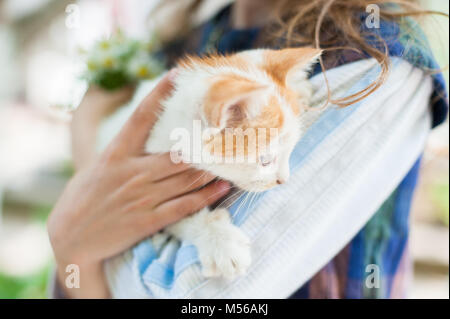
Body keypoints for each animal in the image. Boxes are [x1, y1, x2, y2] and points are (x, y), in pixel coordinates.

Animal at [144, 47, 320, 280]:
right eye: (265, 160)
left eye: (290, 150)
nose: (284, 180)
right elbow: (176, 216)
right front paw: (220, 242)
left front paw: (300, 86)